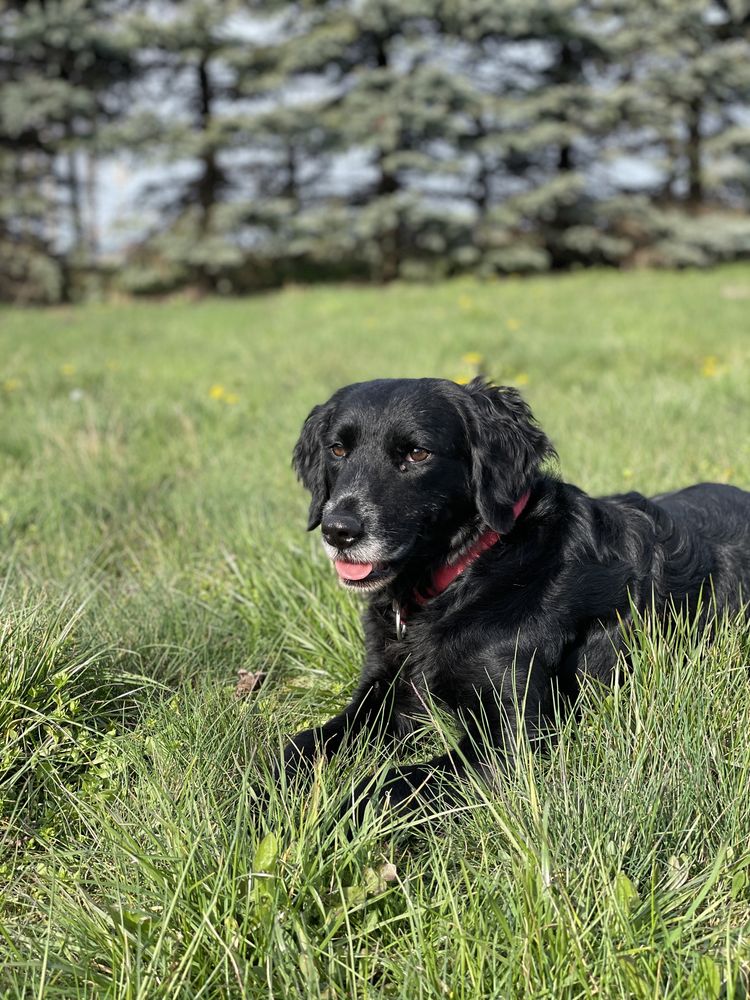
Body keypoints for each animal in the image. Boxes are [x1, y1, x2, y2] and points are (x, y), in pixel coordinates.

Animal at [284, 378, 750, 816]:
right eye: (338, 450)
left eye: (417, 454)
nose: (339, 531)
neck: (466, 576)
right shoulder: (384, 691)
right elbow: (300, 745)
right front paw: (269, 798)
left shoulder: (513, 737)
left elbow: (394, 782)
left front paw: (336, 818)